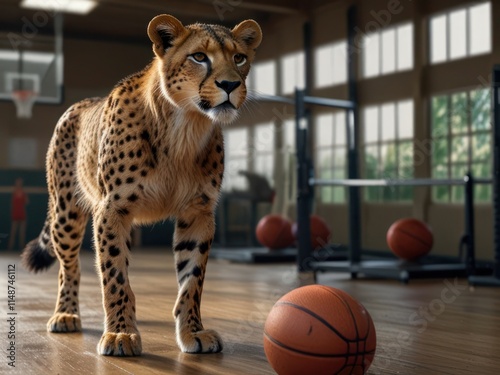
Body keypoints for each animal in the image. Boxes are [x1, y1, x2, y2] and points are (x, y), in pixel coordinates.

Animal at [20, 13, 262, 356]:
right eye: (199, 57)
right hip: (66, 215)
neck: (184, 128)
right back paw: (65, 314)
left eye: (239, 58)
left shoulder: (198, 213)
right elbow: (114, 274)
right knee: (69, 267)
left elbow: (192, 279)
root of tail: (78, 104)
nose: (230, 85)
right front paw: (120, 333)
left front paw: (193, 331)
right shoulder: (111, 209)